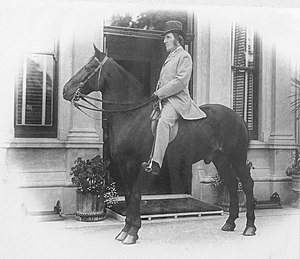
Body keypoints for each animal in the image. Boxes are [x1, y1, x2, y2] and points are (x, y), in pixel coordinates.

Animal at [62, 45, 255, 246]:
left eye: (88, 67)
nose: (65, 90)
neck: (131, 115)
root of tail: (239, 118)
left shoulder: (136, 165)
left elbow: (136, 195)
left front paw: (133, 232)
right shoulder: (123, 166)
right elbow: (128, 195)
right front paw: (124, 231)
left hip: (237, 158)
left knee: (246, 184)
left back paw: (249, 227)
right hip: (221, 160)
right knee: (232, 184)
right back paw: (230, 222)